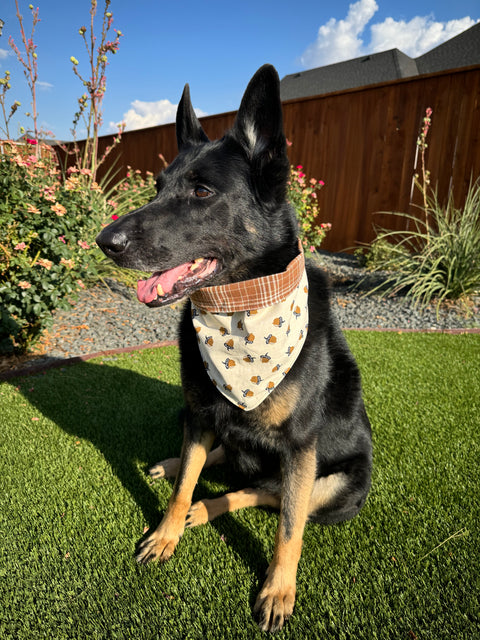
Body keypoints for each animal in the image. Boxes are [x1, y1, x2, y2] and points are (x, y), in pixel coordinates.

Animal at [95, 65, 374, 636]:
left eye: (202, 191)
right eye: (157, 188)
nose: (105, 242)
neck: (240, 309)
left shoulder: (301, 447)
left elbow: (289, 527)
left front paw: (278, 589)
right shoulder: (201, 412)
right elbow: (184, 485)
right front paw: (167, 531)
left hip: (339, 486)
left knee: (270, 494)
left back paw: (210, 508)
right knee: (222, 460)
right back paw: (178, 470)